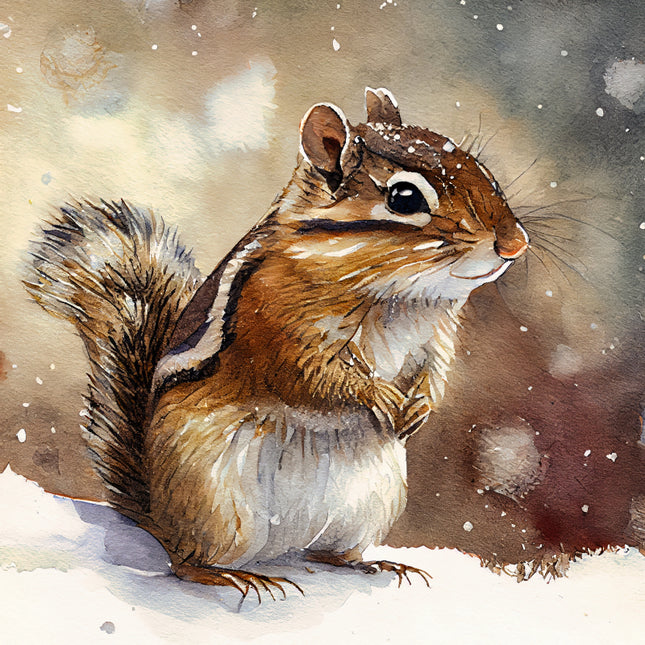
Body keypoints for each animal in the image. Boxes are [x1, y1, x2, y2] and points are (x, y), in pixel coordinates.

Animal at [25, 87, 528, 598]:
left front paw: (421, 407)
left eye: (481, 170)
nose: (515, 245)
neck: (400, 296)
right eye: (403, 198)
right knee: (184, 561)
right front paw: (379, 395)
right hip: (216, 502)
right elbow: (310, 375)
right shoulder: (275, 325)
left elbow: (434, 373)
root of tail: (156, 514)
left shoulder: (437, 338)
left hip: (370, 503)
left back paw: (376, 565)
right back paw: (228, 574)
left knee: (328, 554)